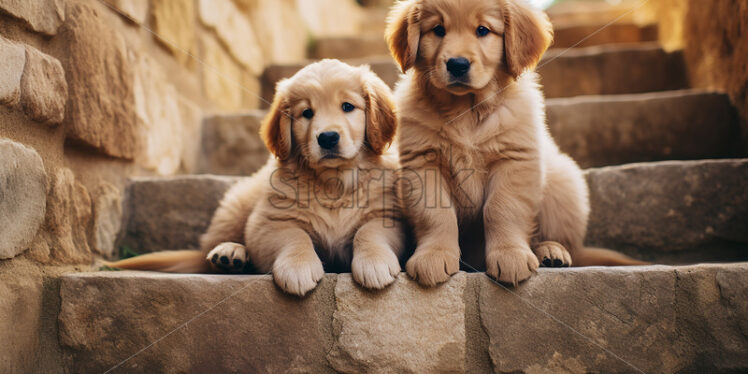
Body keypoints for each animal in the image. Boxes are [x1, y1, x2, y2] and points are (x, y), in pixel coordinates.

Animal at [106, 60, 404, 296]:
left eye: (348, 106)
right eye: (306, 113)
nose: (328, 137)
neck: (333, 182)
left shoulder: (386, 215)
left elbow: (368, 232)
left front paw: (375, 263)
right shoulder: (268, 222)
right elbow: (295, 237)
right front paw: (297, 268)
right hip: (238, 203)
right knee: (211, 248)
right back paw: (229, 254)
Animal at [386, 0, 644, 286]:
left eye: (483, 30)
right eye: (438, 29)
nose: (457, 64)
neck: (465, 110)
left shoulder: (514, 159)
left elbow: (502, 208)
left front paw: (510, 255)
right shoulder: (423, 163)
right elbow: (435, 214)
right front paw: (433, 255)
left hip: (563, 181)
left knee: (566, 243)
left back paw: (551, 251)